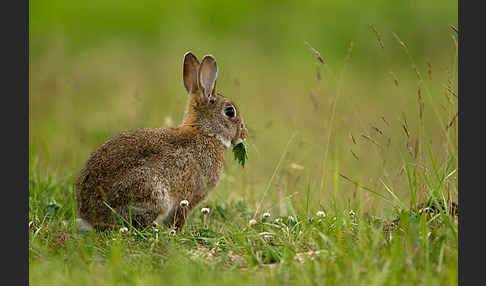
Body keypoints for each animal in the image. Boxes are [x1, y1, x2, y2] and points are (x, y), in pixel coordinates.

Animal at [74, 52, 249, 231]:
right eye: (230, 112)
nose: (244, 134)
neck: (206, 132)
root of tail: (90, 218)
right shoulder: (187, 197)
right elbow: (179, 218)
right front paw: (180, 231)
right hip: (151, 193)